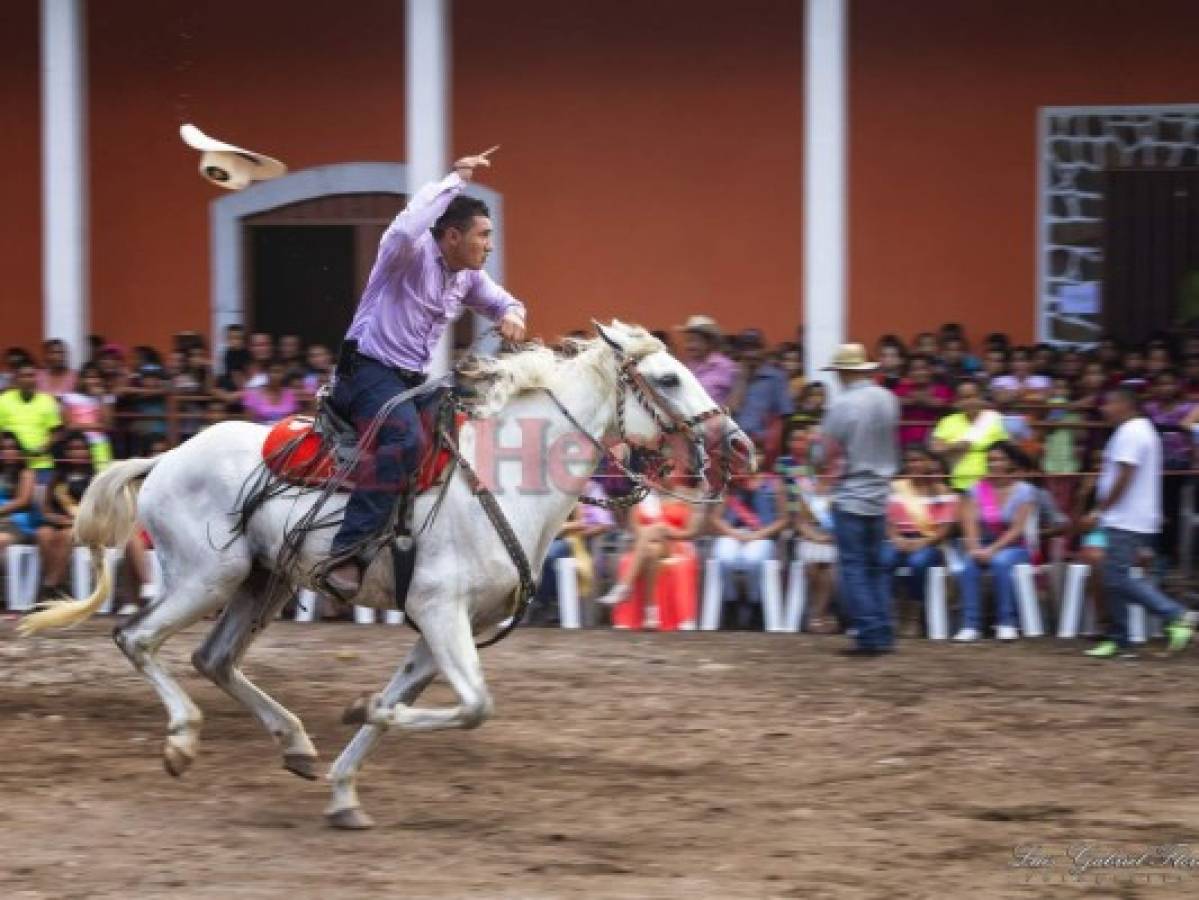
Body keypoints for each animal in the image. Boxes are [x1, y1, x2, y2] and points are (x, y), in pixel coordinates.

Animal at [18, 321, 748, 829]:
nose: (738, 445)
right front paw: (363, 708)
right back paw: (181, 742)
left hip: (262, 582)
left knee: (214, 657)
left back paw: (296, 744)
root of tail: (164, 456)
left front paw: (346, 787)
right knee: (137, 639)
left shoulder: (443, 629)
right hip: (206, 578)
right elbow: (473, 707)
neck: (508, 480)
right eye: (669, 378)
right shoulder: (440, 612)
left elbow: (411, 709)